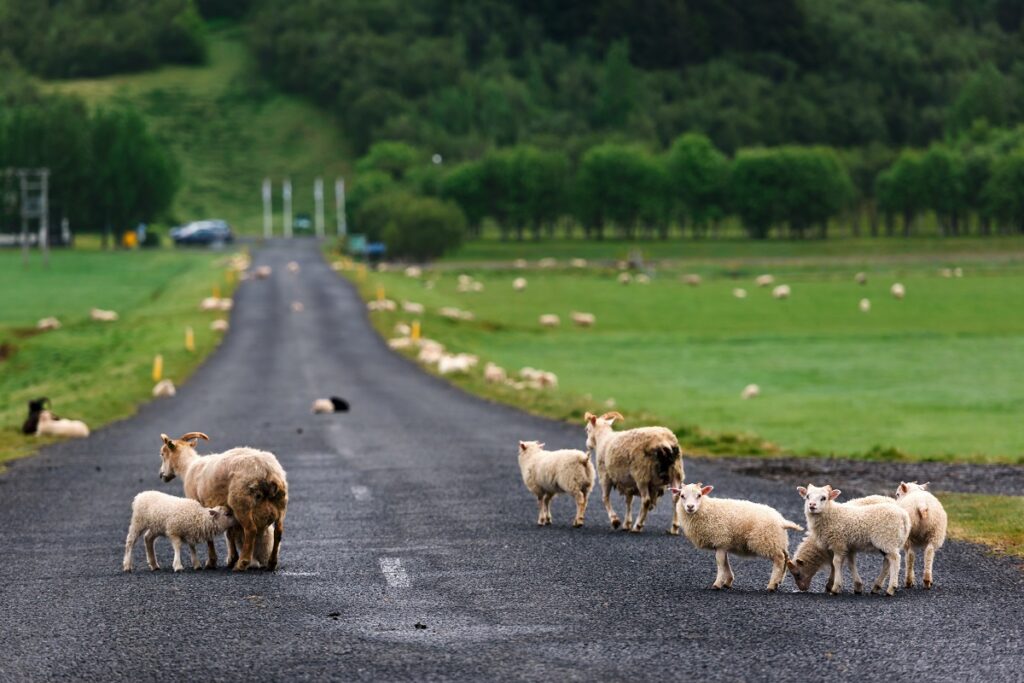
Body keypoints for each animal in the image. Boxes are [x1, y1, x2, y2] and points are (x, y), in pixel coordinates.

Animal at [157, 432, 290, 573]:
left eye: (163, 454)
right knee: (278, 531)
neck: (188, 467)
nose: (161, 475)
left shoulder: (201, 506)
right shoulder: (226, 509)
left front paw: (212, 562)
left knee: (251, 530)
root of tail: (267, 471)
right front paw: (231, 559)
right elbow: (229, 532)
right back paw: (271, 563)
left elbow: (211, 535)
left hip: (241, 503)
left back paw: (242, 564)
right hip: (280, 503)